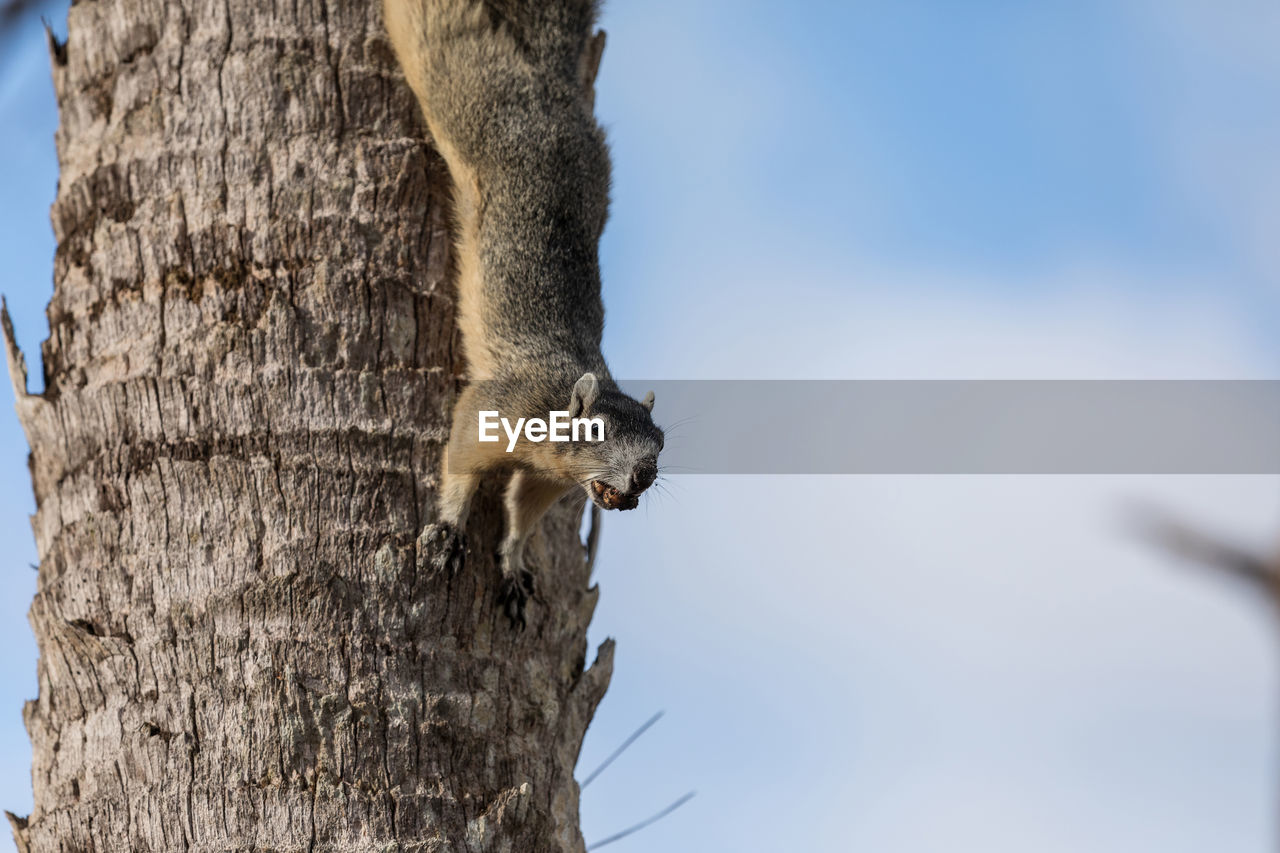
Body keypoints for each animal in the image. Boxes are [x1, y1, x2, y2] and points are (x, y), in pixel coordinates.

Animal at [378, 0, 665, 625]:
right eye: (597, 430)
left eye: (662, 444)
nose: (645, 474)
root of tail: (549, 88)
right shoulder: (498, 408)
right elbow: (461, 456)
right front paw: (448, 529)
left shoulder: (548, 480)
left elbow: (522, 512)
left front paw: (512, 563)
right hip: (466, 94)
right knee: (444, 37)